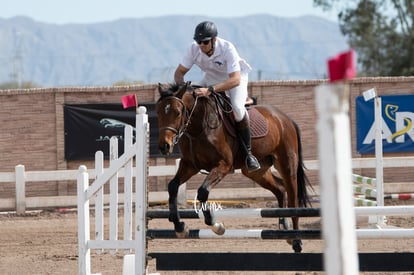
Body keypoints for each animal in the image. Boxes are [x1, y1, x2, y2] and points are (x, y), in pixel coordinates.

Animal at [155, 82, 310, 254]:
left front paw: (216, 225)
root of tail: (285, 118)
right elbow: (172, 186)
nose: (164, 146)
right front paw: (180, 226)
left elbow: (202, 191)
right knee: (280, 189)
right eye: (158, 112)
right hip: (258, 172)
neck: (198, 127)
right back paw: (285, 229)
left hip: (287, 165)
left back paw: (297, 241)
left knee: (293, 199)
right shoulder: (189, 165)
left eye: (177, 112)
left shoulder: (223, 165)